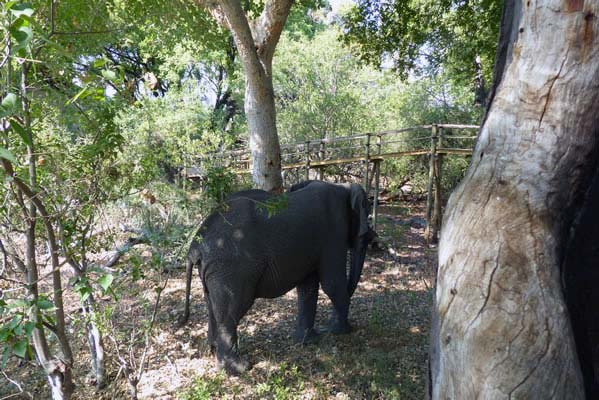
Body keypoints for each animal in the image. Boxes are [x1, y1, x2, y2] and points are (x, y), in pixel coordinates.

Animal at [182, 181, 376, 376]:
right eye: (366, 219)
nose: (370, 237)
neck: (344, 187)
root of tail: (195, 246)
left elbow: (307, 288)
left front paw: (308, 341)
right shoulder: (334, 232)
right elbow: (332, 283)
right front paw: (341, 332)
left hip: (213, 269)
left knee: (212, 307)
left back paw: (212, 351)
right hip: (229, 268)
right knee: (232, 311)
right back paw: (239, 369)